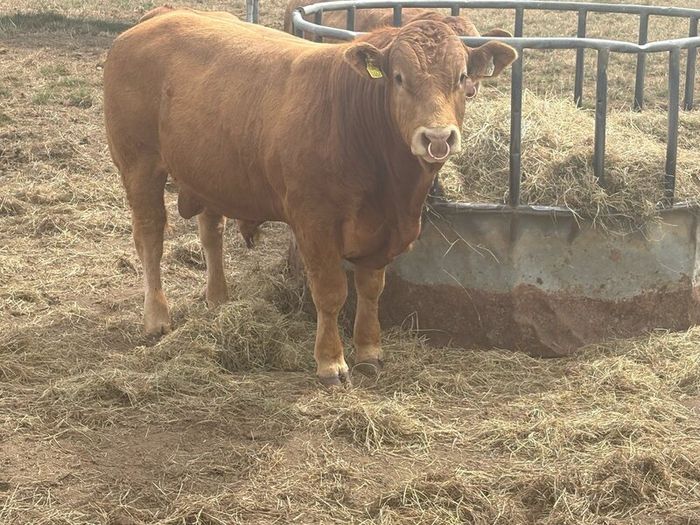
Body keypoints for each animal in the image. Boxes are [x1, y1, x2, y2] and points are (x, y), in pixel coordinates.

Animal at [103, 7, 517, 386]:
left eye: (462, 77)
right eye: (399, 78)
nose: (437, 137)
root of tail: (160, 16)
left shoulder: (383, 231)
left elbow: (371, 290)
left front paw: (369, 351)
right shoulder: (314, 222)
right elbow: (331, 292)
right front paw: (331, 362)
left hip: (209, 172)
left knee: (211, 234)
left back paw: (218, 298)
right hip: (139, 164)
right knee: (150, 237)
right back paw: (157, 318)